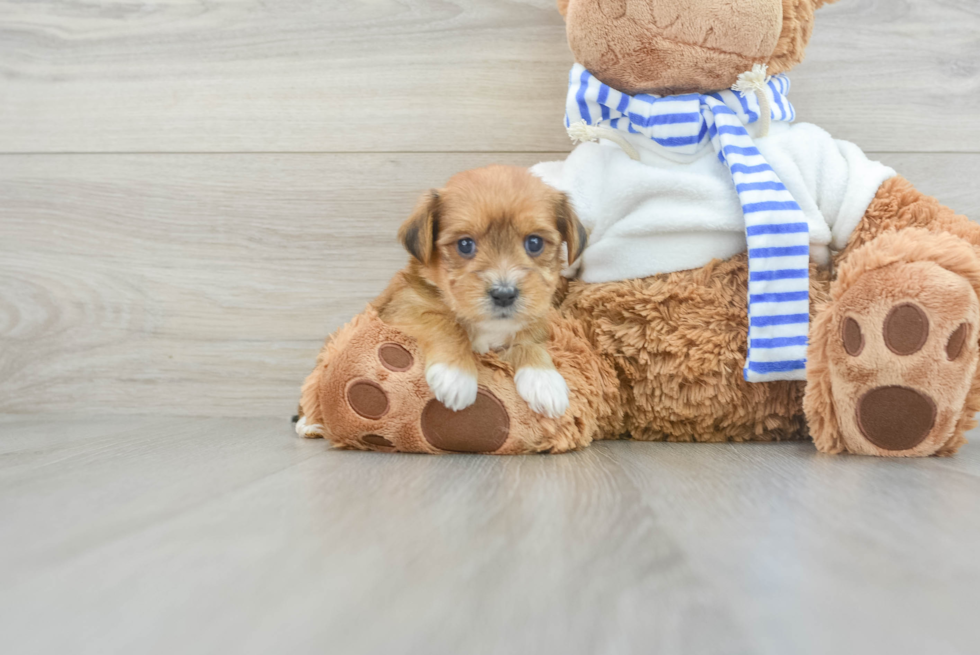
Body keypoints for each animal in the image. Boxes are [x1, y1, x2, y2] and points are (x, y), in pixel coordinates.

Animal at [378, 167, 584, 418]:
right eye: (465, 245)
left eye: (534, 243)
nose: (504, 294)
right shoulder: (405, 305)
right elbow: (444, 323)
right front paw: (456, 375)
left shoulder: (534, 318)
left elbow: (530, 341)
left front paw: (544, 379)